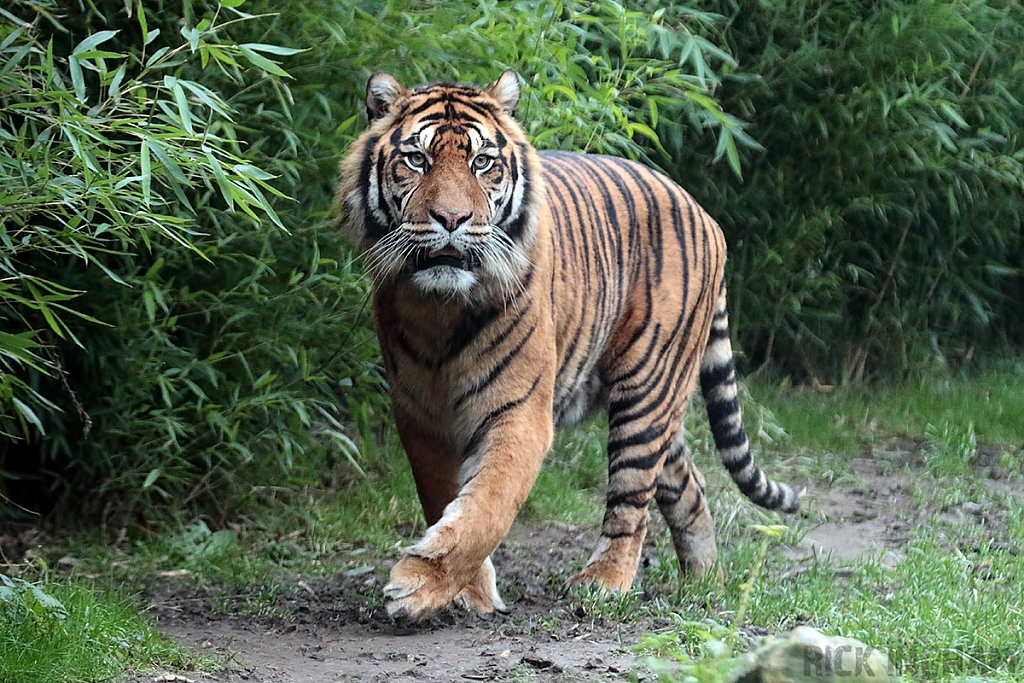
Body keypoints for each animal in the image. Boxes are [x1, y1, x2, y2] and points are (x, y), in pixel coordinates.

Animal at [335, 72, 798, 622]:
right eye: (416, 160)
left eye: (482, 162)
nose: (451, 218)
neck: (441, 309)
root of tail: (705, 214)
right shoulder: (421, 417)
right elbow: (444, 499)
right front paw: (467, 593)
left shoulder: (519, 413)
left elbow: (487, 508)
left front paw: (418, 586)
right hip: (664, 406)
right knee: (689, 485)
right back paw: (706, 582)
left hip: (647, 390)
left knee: (632, 499)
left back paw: (604, 582)